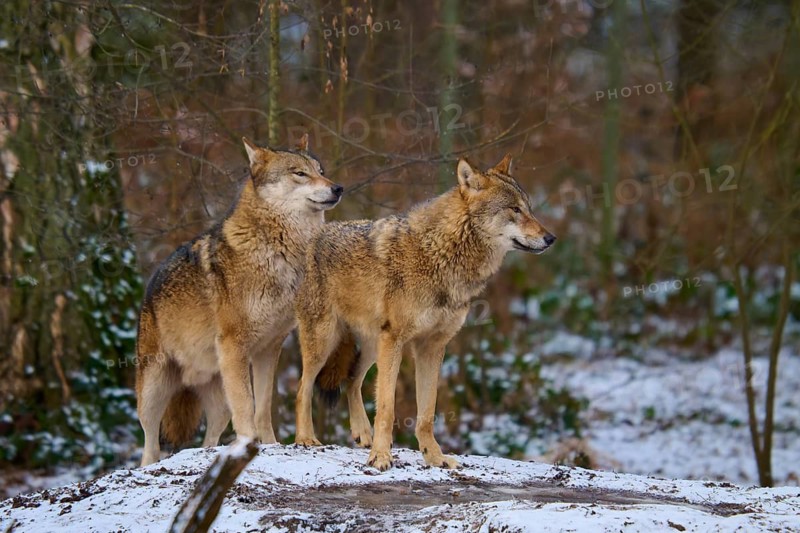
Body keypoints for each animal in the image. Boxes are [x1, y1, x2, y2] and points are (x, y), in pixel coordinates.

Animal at [136, 135, 343, 466]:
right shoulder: (235, 345)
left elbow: (263, 406)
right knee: (150, 441)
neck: (279, 253)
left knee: (210, 434)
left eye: (321, 171)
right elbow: (246, 405)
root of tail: (150, 285)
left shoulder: (269, 348)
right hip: (154, 387)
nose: (338, 188)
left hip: (218, 395)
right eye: (299, 173)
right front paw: (249, 446)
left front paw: (269, 444)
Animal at [293, 155, 556, 470]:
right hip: (325, 341)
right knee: (303, 387)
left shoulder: (431, 346)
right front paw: (381, 457)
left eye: (529, 208)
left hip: (372, 347)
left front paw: (434, 456)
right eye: (514, 209)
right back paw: (306, 438)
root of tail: (316, 236)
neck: (442, 254)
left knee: (352, 380)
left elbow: (427, 412)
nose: (551, 238)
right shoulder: (396, 340)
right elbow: (387, 408)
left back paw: (363, 434)